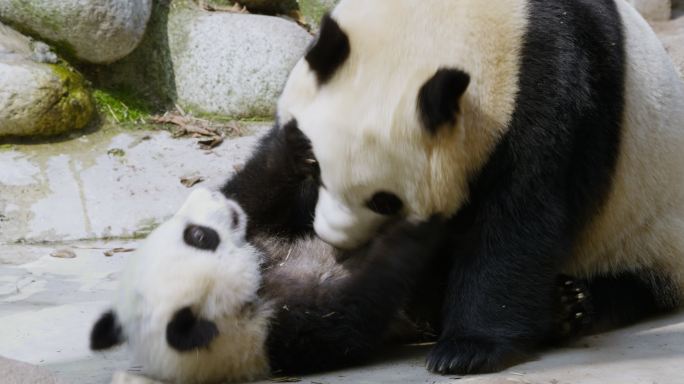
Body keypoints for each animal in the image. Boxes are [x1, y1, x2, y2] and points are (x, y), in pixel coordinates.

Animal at [276, 0, 684, 376]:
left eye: (384, 202)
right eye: (316, 167)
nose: (333, 238)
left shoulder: (555, 86)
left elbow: (518, 220)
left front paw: (466, 350)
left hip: (647, 230)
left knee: (632, 283)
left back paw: (571, 305)